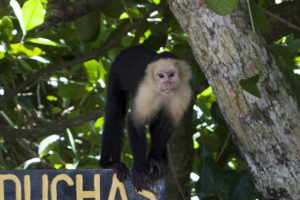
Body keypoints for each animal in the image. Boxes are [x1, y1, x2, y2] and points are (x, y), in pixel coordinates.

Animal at [99, 45, 192, 191]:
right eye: (161, 76)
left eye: (171, 74)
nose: (166, 83)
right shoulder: (146, 92)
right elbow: (135, 122)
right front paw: (141, 169)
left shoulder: (184, 93)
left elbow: (167, 124)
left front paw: (154, 161)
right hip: (115, 72)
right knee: (115, 112)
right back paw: (110, 163)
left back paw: (161, 162)